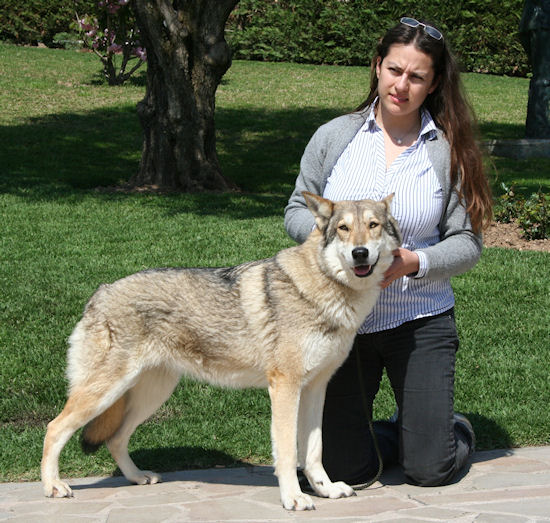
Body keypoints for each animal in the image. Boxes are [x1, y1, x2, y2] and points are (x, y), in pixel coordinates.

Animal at [40, 192, 402, 512]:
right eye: (343, 228)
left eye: (373, 226)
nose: (359, 253)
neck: (324, 289)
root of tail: (100, 292)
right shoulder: (284, 387)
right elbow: (287, 453)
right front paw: (294, 499)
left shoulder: (316, 387)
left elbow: (313, 451)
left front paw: (325, 490)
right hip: (106, 392)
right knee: (54, 428)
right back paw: (53, 486)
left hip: (150, 395)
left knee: (115, 439)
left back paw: (137, 477)